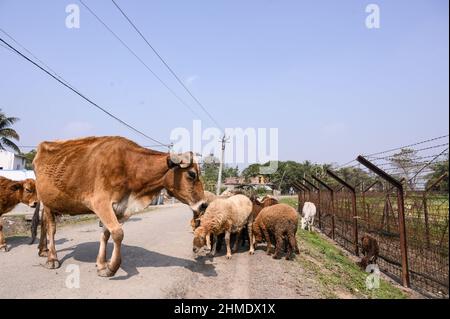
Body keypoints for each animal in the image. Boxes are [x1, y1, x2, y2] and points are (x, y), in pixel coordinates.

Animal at [33, 136, 206, 276]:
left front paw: (101, 264)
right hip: (47, 202)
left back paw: (43, 250)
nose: (204, 205)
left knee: (44, 224)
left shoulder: (117, 208)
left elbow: (106, 234)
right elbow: (117, 233)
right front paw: (111, 268)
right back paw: (52, 258)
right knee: (51, 228)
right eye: (192, 174)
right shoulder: (101, 202)